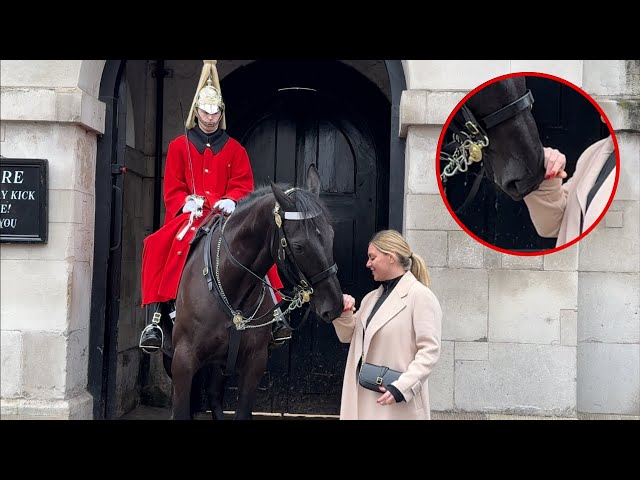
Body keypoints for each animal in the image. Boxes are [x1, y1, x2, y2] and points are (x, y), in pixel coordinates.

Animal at [158, 166, 342, 420]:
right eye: (298, 246)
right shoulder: (183, 361)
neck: (232, 290)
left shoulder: (254, 362)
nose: (334, 306)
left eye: (331, 234)